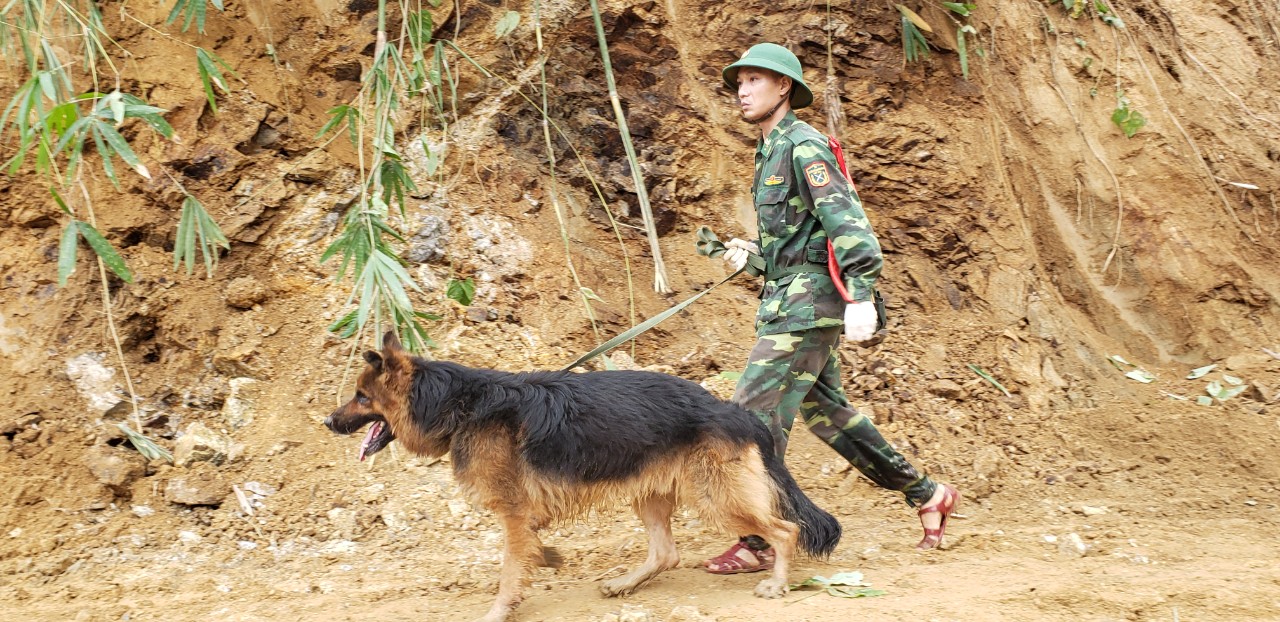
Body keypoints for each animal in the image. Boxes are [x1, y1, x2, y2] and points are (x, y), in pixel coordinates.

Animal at [325, 332, 839, 622]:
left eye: (360, 397)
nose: (328, 422)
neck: (457, 405)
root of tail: (733, 411)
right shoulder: (523, 518)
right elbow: (527, 555)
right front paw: (547, 559)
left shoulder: (513, 514)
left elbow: (510, 571)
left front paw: (498, 610)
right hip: (650, 494)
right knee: (667, 553)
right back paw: (625, 584)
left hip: (716, 496)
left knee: (784, 529)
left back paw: (776, 583)